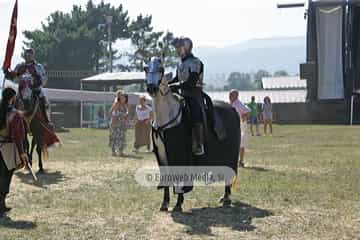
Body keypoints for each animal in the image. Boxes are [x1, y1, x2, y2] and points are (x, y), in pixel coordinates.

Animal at [145, 58, 240, 212]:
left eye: (161, 69)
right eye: (146, 68)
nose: (151, 88)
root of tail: (232, 109)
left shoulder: (179, 154)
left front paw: (178, 204)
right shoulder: (161, 154)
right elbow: (166, 178)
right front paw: (164, 203)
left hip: (230, 157)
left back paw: (226, 197)